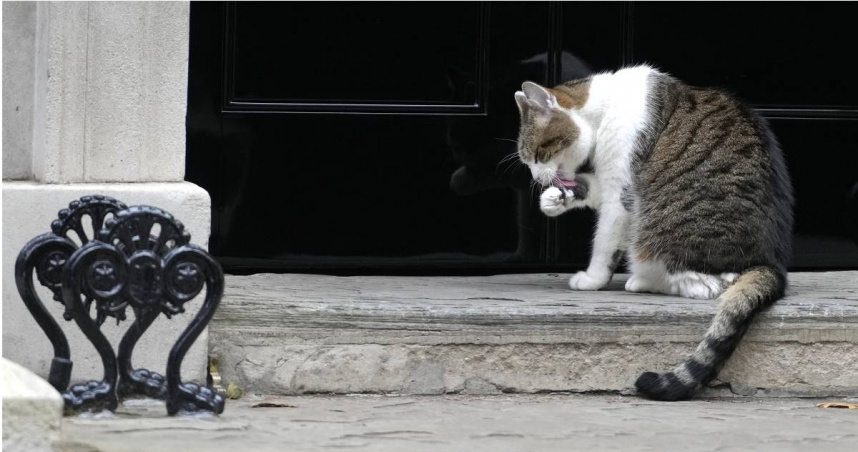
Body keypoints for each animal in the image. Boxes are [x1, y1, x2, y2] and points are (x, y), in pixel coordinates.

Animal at [512, 63, 792, 400]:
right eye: (528, 162)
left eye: (538, 154)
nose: (537, 179)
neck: (605, 107)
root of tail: (769, 264)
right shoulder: (606, 181)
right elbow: (587, 188)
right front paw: (554, 199)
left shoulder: (621, 190)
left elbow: (605, 241)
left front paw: (592, 279)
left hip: (655, 234)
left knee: (705, 285)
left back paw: (641, 281)